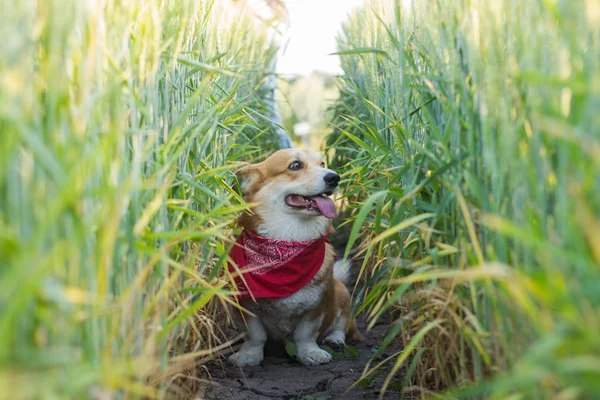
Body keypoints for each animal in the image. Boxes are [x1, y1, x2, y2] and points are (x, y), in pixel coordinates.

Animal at [229, 148, 360, 368]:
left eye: (322, 164)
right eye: (295, 165)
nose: (334, 177)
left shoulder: (315, 308)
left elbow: (305, 334)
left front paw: (310, 353)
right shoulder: (245, 306)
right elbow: (256, 335)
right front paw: (249, 355)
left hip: (342, 295)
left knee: (344, 326)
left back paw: (334, 340)